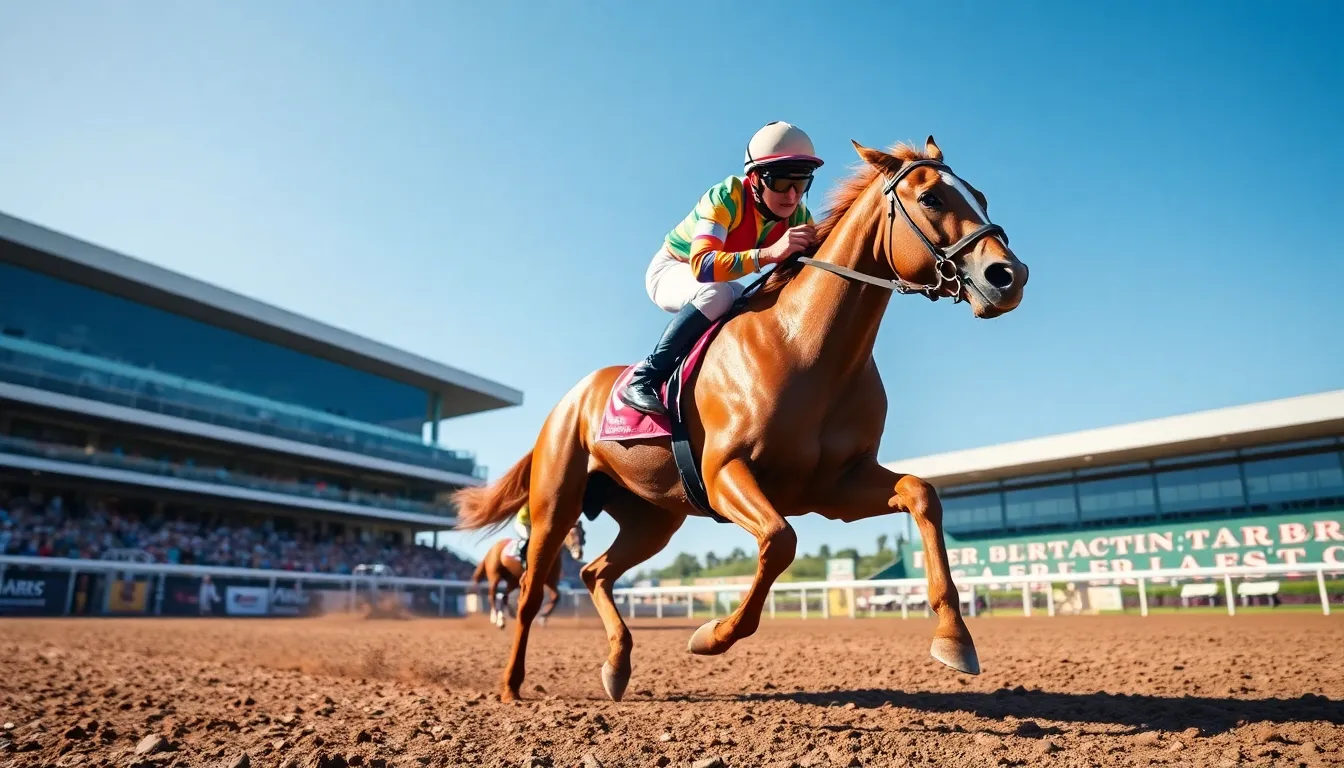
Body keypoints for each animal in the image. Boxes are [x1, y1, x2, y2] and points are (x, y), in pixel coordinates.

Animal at [453, 136, 1029, 703]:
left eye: (981, 196)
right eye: (931, 197)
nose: (1010, 276)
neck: (804, 345)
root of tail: (568, 400)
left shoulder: (836, 487)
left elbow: (921, 494)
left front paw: (955, 638)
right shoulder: (724, 472)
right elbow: (779, 540)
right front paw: (711, 635)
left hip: (652, 518)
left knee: (595, 573)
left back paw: (617, 665)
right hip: (555, 504)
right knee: (530, 593)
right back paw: (511, 685)